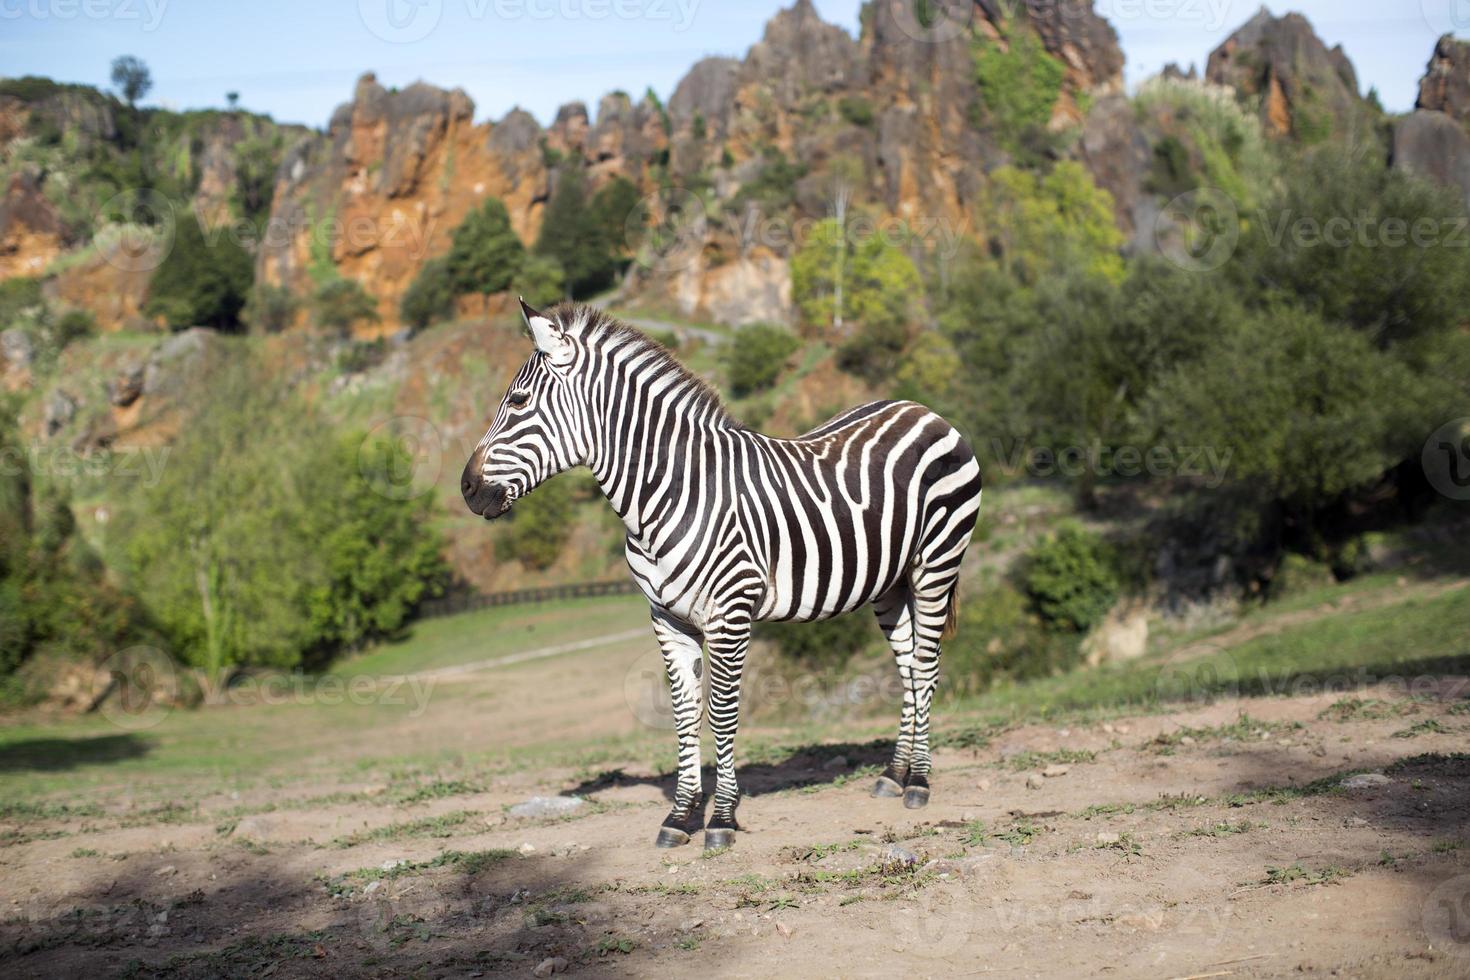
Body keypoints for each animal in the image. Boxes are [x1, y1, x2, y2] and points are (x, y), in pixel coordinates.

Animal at [464, 301, 981, 852]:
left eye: (518, 401)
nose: (467, 488)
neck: (666, 494)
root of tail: (920, 409)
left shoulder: (730, 612)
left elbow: (722, 712)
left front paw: (723, 818)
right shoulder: (667, 618)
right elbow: (684, 713)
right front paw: (680, 815)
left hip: (937, 561)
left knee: (926, 665)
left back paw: (920, 782)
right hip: (889, 582)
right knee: (908, 665)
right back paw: (893, 775)